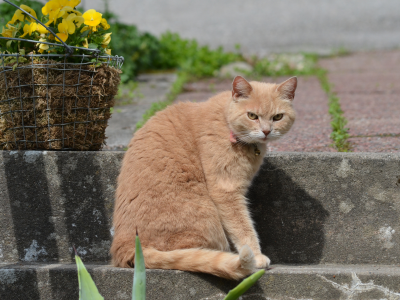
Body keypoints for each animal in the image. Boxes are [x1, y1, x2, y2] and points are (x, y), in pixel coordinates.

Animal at [110, 75, 296, 278]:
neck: (225, 122)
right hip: (206, 218)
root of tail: (124, 247)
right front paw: (257, 256)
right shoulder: (226, 190)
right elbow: (243, 227)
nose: (266, 131)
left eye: (277, 117)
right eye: (252, 116)